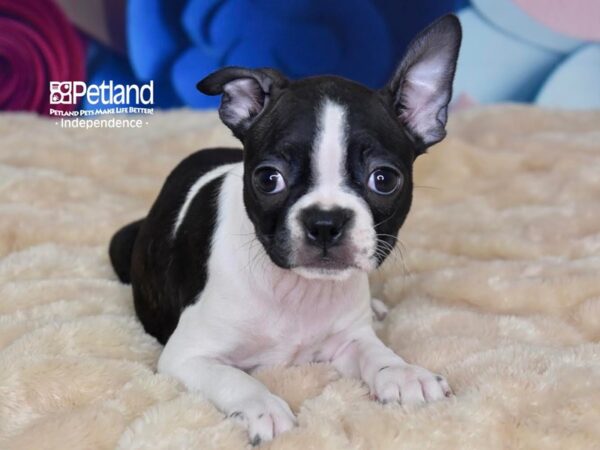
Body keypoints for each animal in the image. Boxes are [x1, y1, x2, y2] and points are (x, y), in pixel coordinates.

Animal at [110, 14, 462, 446]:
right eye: (268, 179)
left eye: (384, 179)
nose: (325, 222)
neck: (298, 290)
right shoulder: (187, 355)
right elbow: (233, 378)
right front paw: (263, 407)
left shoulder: (350, 339)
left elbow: (374, 354)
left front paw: (403, 372)